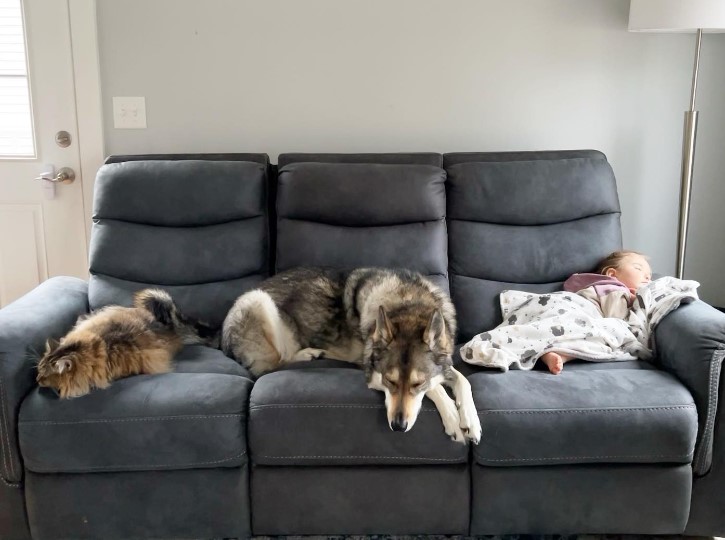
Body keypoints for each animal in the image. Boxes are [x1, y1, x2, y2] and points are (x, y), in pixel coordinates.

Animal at [221, 268, 480, 446]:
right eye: (389, 381)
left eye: (417, 384)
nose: (398, 427)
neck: (408, 306)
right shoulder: (371, 373)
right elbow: (437, 387)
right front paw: (453, 419)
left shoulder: (445, 363)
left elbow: (462, 380)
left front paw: (471, 421)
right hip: (258, 300)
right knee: (272, 365)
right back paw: (307, 353)